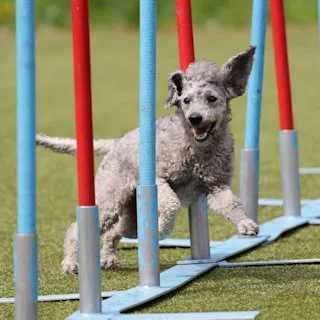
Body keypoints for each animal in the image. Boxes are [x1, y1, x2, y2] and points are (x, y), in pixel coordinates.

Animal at [36, 45, 258, 276]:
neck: (195, 147)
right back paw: (71, 263)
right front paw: (161, 228)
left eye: (212, 98)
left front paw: (246, 224)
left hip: (130, 217)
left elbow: (232, 204)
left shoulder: (216, 186)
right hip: (109, 200)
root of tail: (114, 143)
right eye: (186, 100)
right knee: (75, 229)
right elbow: (171, 204)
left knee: (114, 232)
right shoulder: (160, 180)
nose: (195, 118)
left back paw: (108, 258)